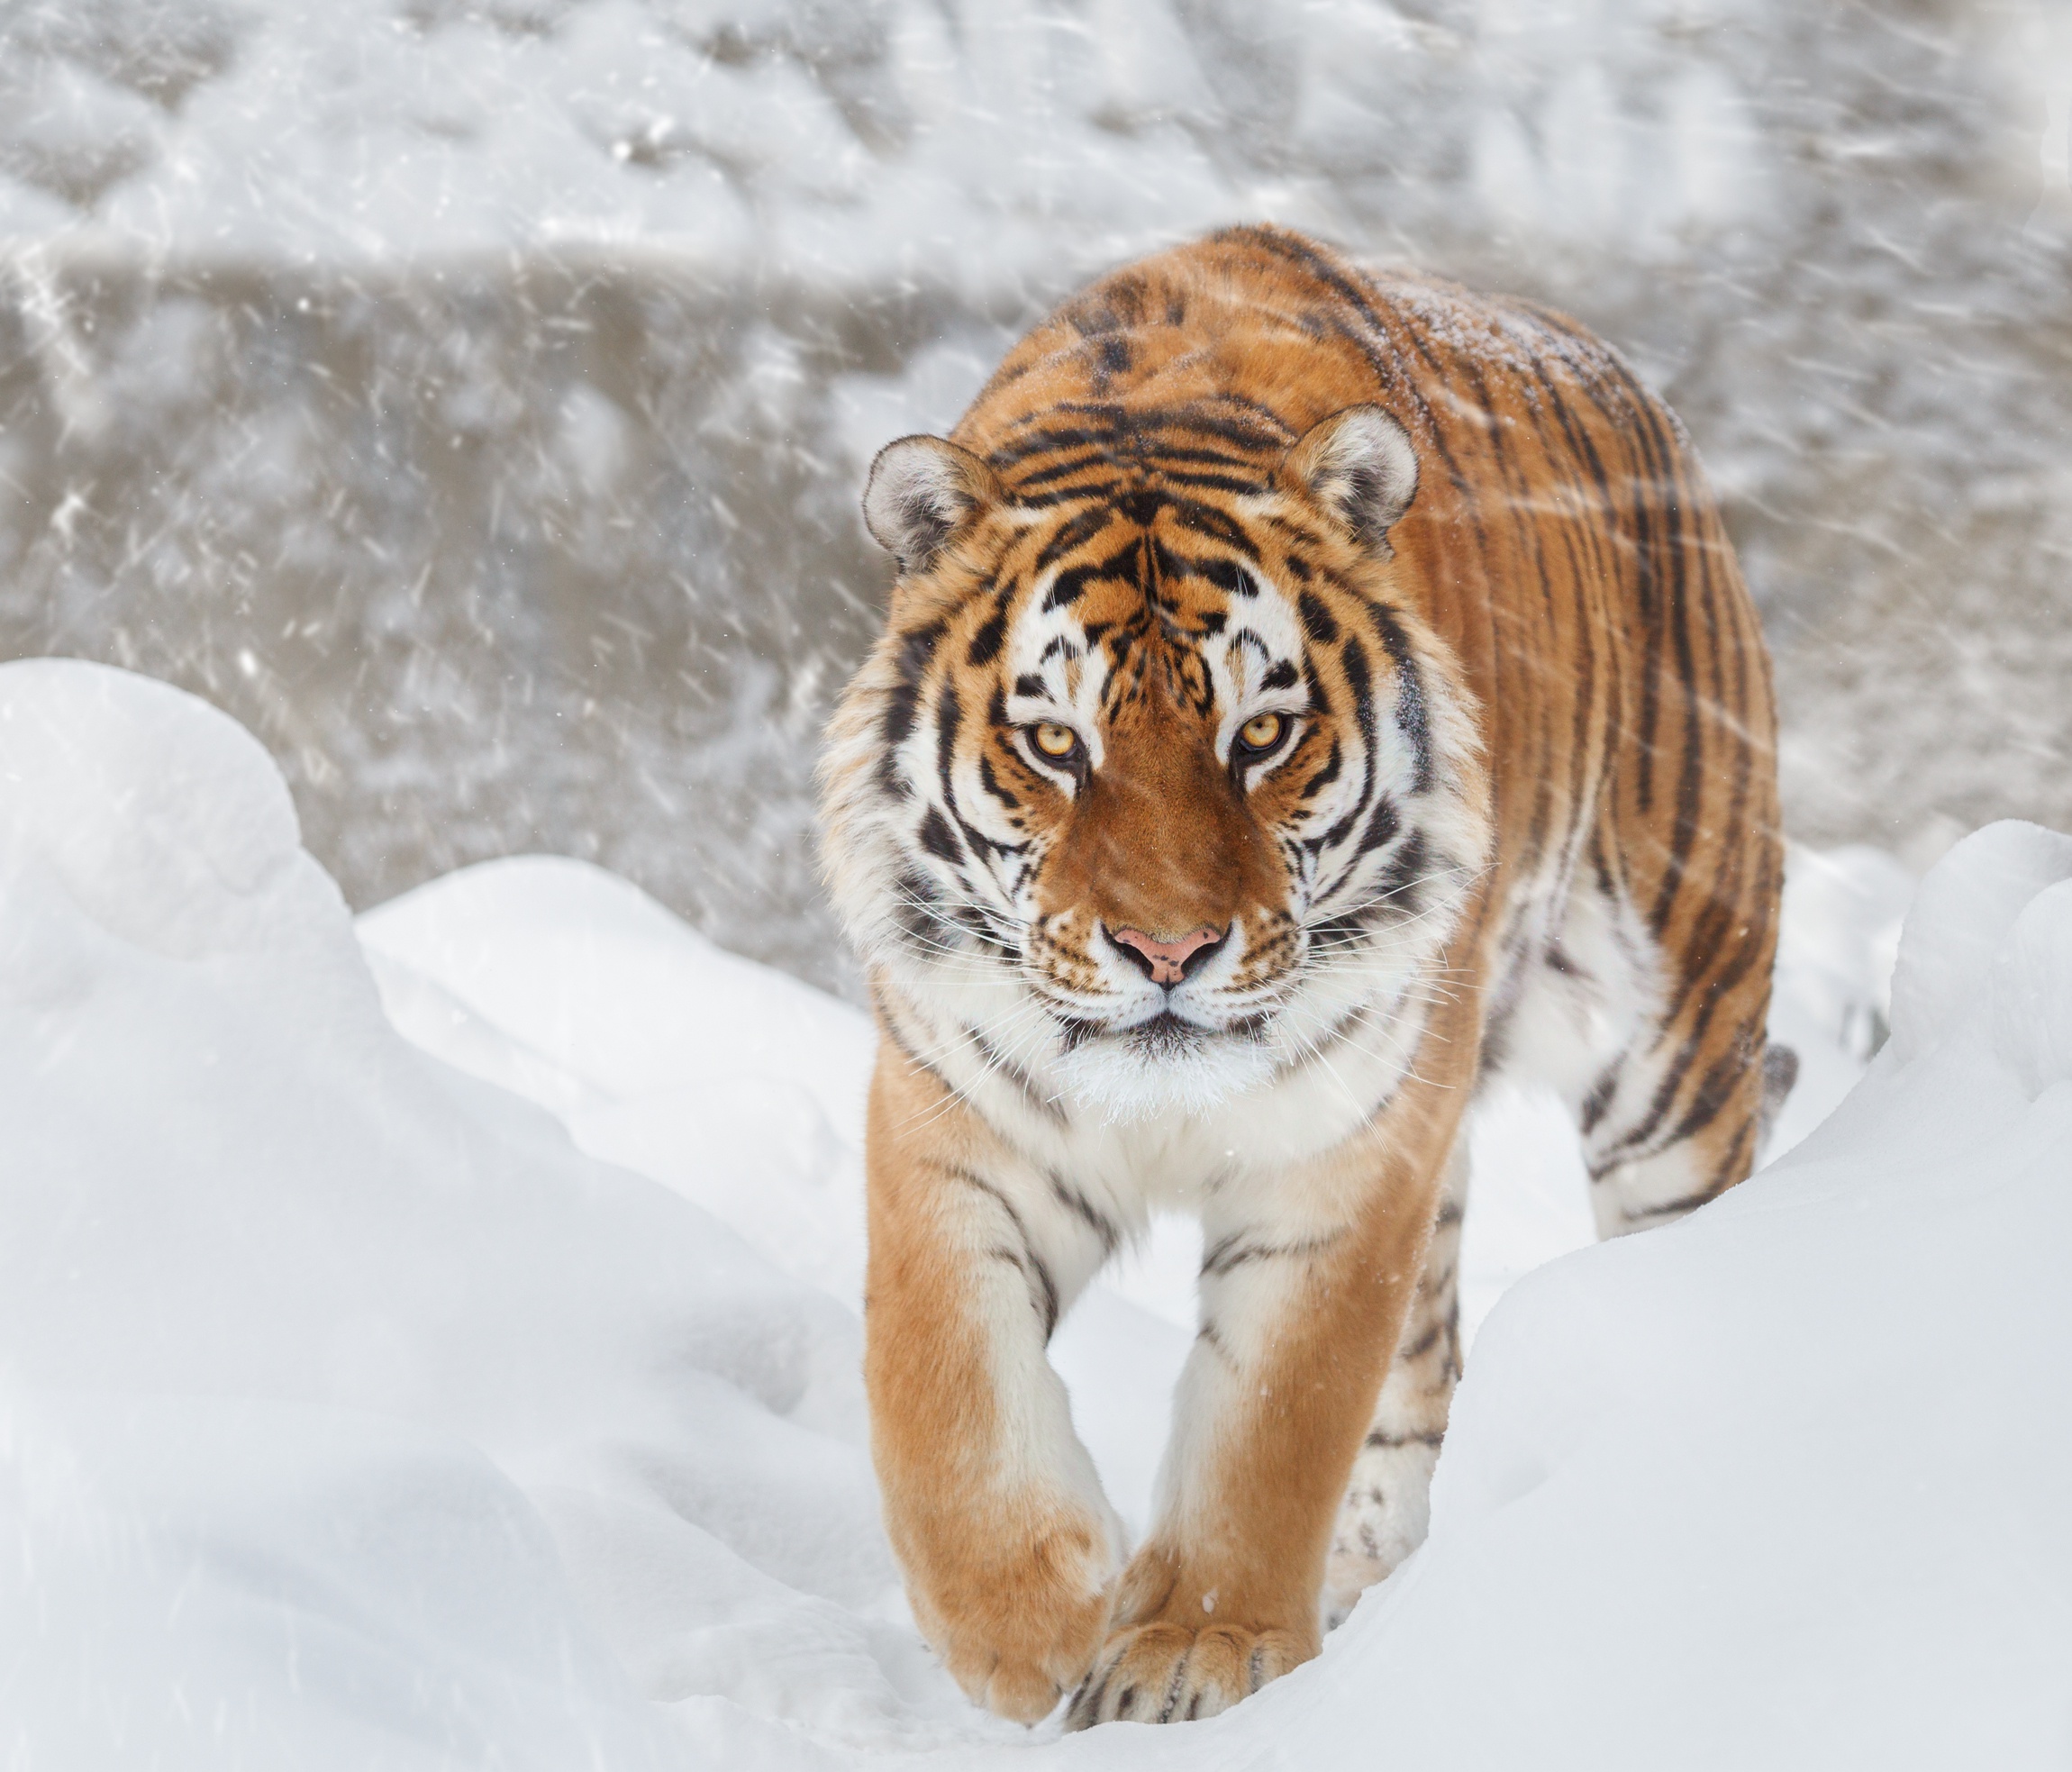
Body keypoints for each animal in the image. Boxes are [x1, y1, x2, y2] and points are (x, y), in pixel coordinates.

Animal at [816, 224, 1790, 1732]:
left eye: (1262, 733)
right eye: (1056, 744)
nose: (1167, 951)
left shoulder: (1348, 1151)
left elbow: (1274, 1417)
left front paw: (1189, 1652)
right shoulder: (956, 1111)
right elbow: (941, 1386)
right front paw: (1033, 1629)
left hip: (1677, 1048)